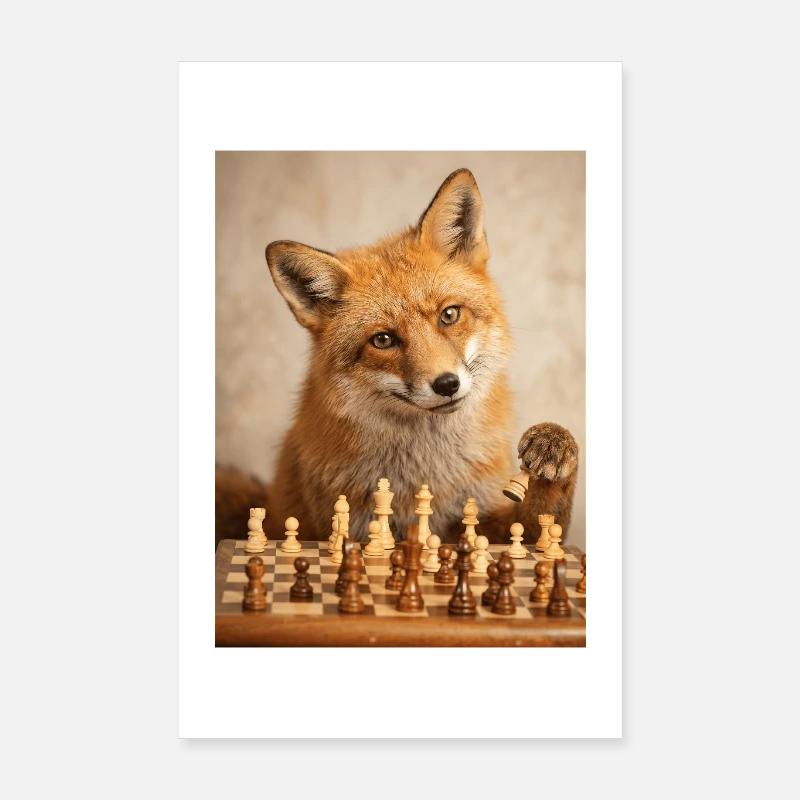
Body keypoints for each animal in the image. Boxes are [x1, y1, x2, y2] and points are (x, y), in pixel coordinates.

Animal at [216, 168, 578, 545]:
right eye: (383, 339)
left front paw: (553, 446)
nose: (447, 384)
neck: (426, 473)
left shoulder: (483, 521)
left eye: (449, 315)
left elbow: (541, 525)